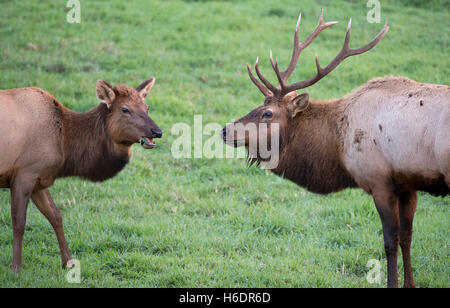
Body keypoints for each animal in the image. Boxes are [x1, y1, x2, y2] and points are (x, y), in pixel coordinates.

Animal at [0, 78, 162, 270]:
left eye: (147, 107)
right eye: (125, 109)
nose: (157, 131)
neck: (64, 147)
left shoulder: (39, 177)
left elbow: (55, 215)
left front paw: (68, 261)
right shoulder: (24, 173)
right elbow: (19, 224)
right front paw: (16, 268)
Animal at [222, 10, 450, 288]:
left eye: (267, 113)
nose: (224, 130)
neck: (337, 148)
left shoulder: (379, 180)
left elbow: (390, 241)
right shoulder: (408, 183)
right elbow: (407, 237)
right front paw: (410, 284)